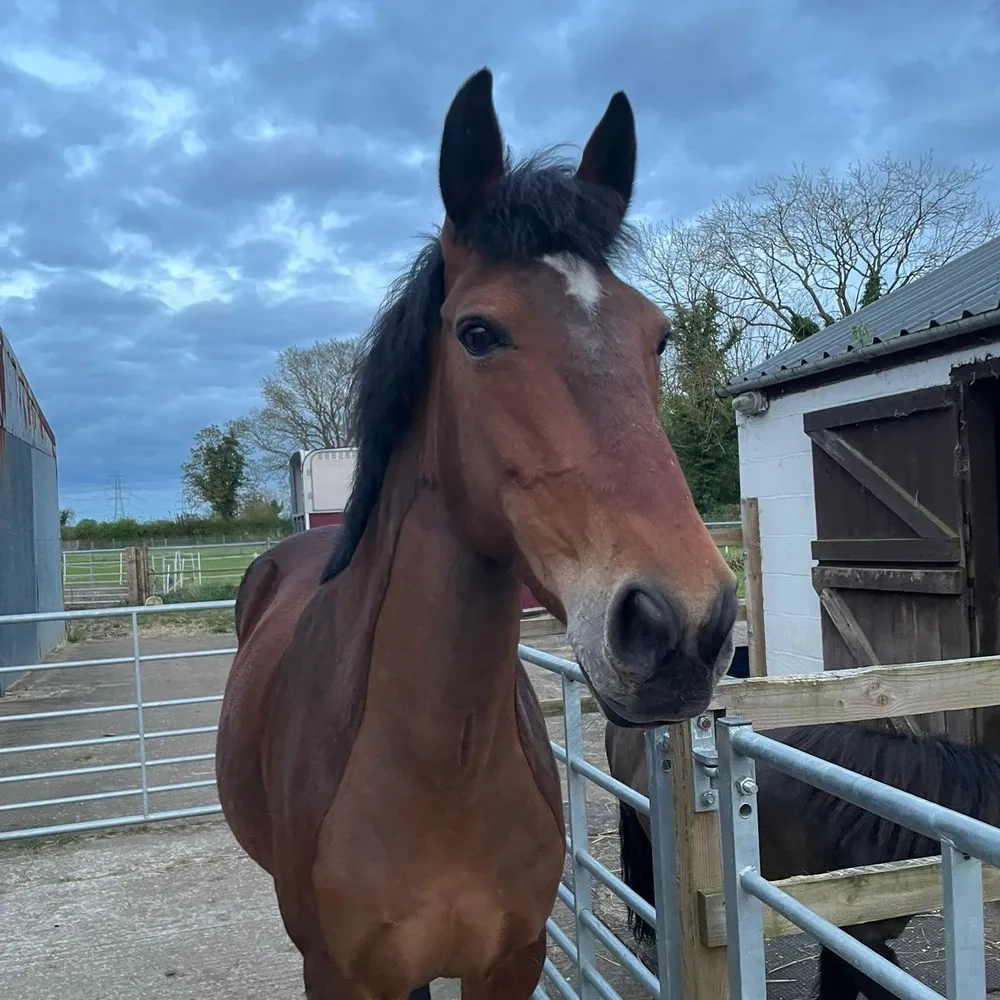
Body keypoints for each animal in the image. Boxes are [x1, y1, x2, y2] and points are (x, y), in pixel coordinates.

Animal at [215, 66, 739, 1000]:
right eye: (478, 333)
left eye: (658, 336)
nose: (684, 624)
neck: (438, 770)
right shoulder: (338, 974)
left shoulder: (510, 960)